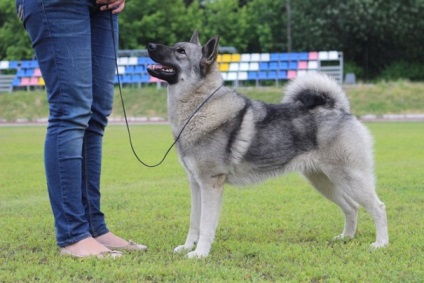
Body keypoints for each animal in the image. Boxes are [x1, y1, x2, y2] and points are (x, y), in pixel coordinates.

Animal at [147, 31, 390, 260]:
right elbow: (194, 221)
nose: (149, 45)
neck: (200, 106)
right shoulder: (195, 184)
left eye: (181, 51)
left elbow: (206, 224)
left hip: (350, 178)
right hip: (323, 181)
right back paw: (346, 238)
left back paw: (381, 244)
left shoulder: (210, 183)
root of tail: (339, 109)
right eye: (175, 46)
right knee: (351, 207)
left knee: (378, 207)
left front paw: (200, 254)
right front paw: (188, 247)